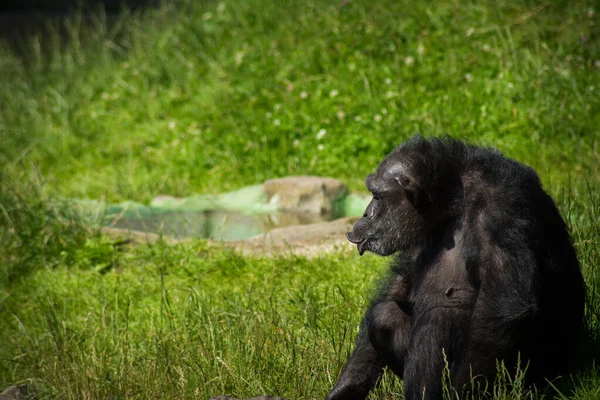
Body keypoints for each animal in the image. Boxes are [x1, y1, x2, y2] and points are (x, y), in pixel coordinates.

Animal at [328, 136, 584, 398]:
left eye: (377, 196)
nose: (365, 213)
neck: (452, 203)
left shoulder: (501, 212)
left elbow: (502, 307)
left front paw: (458, 394)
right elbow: (398, 287)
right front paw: (346, 389)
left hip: (525, 381)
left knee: (437, 322)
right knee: (385, 317)